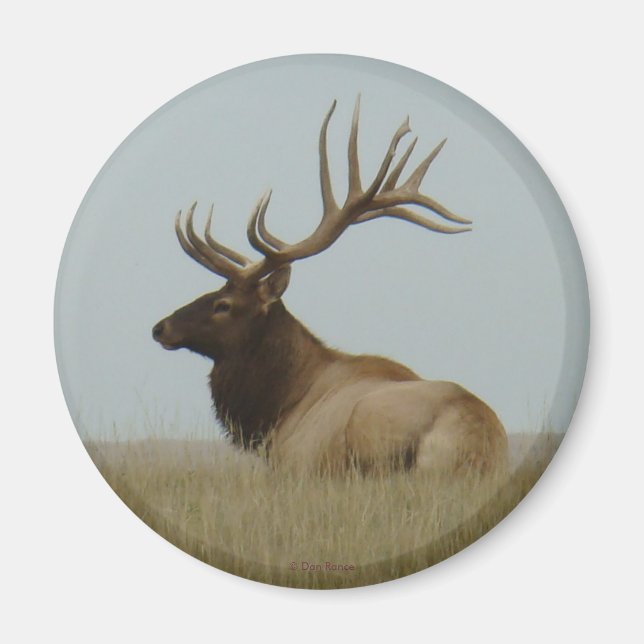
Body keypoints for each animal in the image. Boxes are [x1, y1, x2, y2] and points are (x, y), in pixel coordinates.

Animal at [152, 97, 508, 475]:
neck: (279, 409)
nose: (160, 328)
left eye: (224, 304)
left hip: (369, 426)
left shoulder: (294, 465)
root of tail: (476, 441)